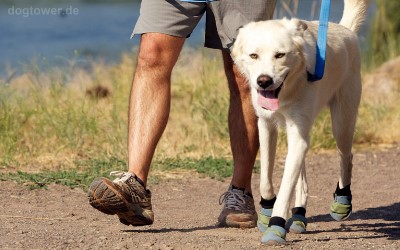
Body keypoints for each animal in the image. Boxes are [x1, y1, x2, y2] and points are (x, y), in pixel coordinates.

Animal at [233, 0, 370, 244]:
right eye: (253, 55)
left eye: (280, 55)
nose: (264, 81)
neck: (288, 90)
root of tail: (346, 29)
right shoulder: (266, 126)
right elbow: (266, 179)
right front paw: (266, 212)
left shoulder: (298, 135)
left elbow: (285, 187)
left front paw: (276, 226)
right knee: (302, 178)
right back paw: (298, 216)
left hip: (342, 124)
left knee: (347, 156)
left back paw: (341, 202)